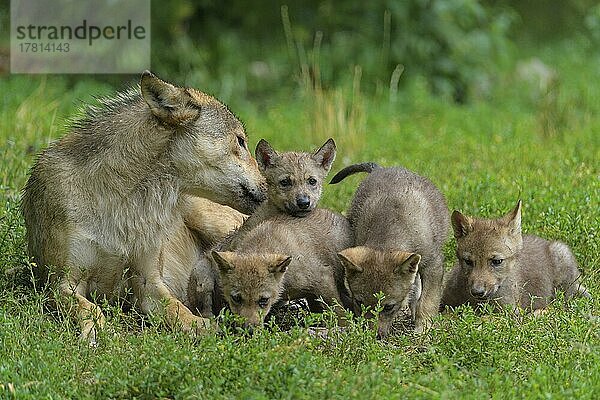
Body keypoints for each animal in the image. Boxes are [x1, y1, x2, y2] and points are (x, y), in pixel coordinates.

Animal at [21, 71, 264, 344]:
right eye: (240, 141)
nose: (271, 183)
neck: (125, 202)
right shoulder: (61, 284)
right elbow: (90, 308)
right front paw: (95, 332)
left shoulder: (150, 282)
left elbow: (178, 310)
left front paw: (207, 327)